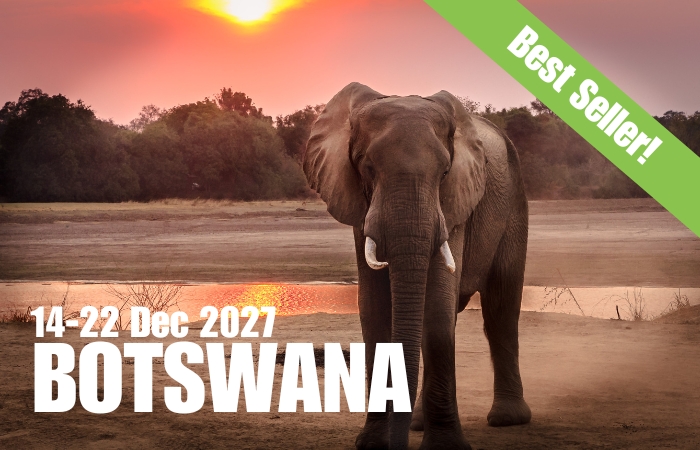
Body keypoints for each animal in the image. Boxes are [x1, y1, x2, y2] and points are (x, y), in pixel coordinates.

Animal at [303, 82, 531, 449]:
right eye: (367, 168)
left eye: (445, 173)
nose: (396, 444)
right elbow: (374, 309)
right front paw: (373, 444)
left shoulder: (454, 203)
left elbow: (436, 307)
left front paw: (445, 447)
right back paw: (419, 423)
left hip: (514, 202)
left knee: (501, 308)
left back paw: (507, 419)